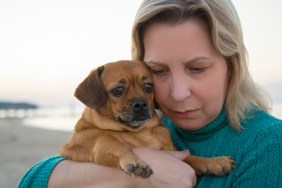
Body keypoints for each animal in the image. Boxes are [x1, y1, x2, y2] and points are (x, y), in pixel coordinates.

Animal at [60, 59, 235, 178]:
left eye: (149, 87)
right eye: (118, 90)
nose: (140, 104)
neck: (141, 132)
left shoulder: (173, 152)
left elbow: (191, 157)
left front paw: (214, 162)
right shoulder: (100, 144)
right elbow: (114, 143)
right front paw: (135, 162)